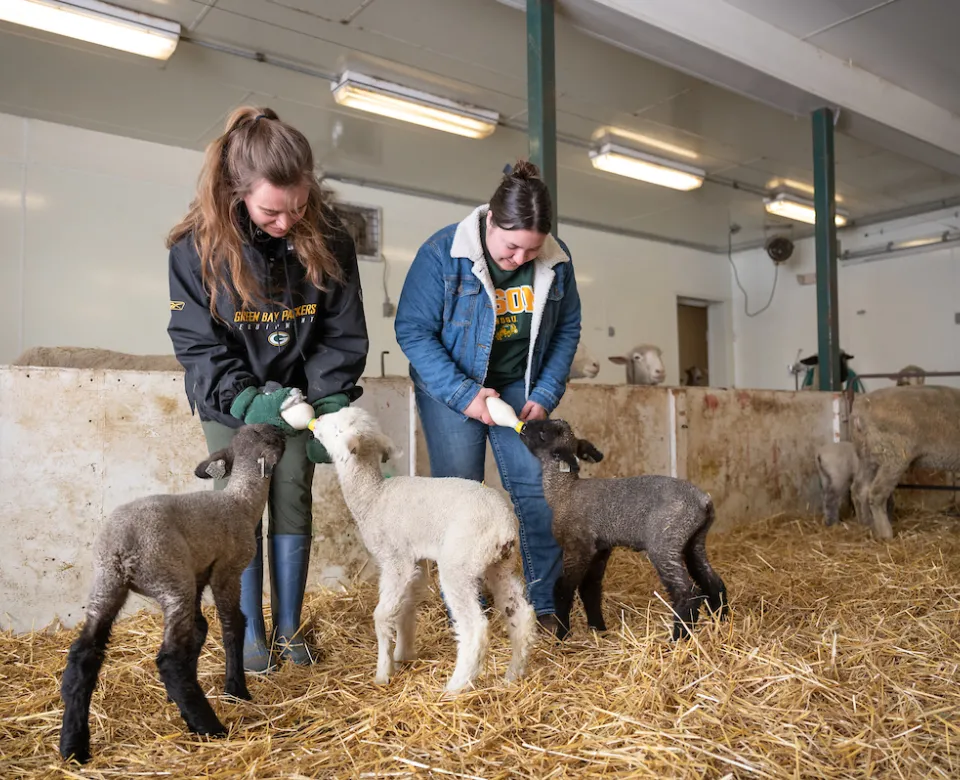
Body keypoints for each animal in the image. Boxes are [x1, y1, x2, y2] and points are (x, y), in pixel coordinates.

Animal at [58, 424, 286, 764]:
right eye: (272, 437)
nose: (284, 430)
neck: (241, 502)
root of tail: (122, 547)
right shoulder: (226, 571)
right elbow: (232, 625)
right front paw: (235, 690)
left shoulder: (198, 574)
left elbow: (199, 630)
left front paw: (179, 697)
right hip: (171, 579)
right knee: (169, 659)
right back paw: (209, 726)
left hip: (108, 584)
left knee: (83, 655)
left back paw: (73, 745)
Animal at [311, 406, 537, 694]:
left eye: (337, 427)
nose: (316, 420)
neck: (373, 496)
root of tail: (503, 526)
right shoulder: (414, 560)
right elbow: (405, 607)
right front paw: (403, 653)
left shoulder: (395, 560)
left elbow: (382, 615)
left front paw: (383, 671)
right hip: (500, 565)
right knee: (520, 614)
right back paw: (513, 674)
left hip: (460, 562)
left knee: (474, 627)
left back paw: (456, 686)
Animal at [518, 418, 727, 641]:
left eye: (543, 433)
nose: (523, 427)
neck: (563, 492)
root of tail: (703, 501)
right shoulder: (600, 549)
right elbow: (590, 589)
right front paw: (598, 629)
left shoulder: (577, 546)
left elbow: (563, 589)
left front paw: (562, 635)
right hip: (694, 540)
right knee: (712, 581)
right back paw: (721, 624)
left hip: (665, 543)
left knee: (687, 593)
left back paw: (678, 638)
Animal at [850, 385, 960, 539]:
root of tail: (860, 408)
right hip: (894, 456)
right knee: (876, 493)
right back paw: (886, 533)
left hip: (867, 456)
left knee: (859, 489)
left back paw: (865, 523)